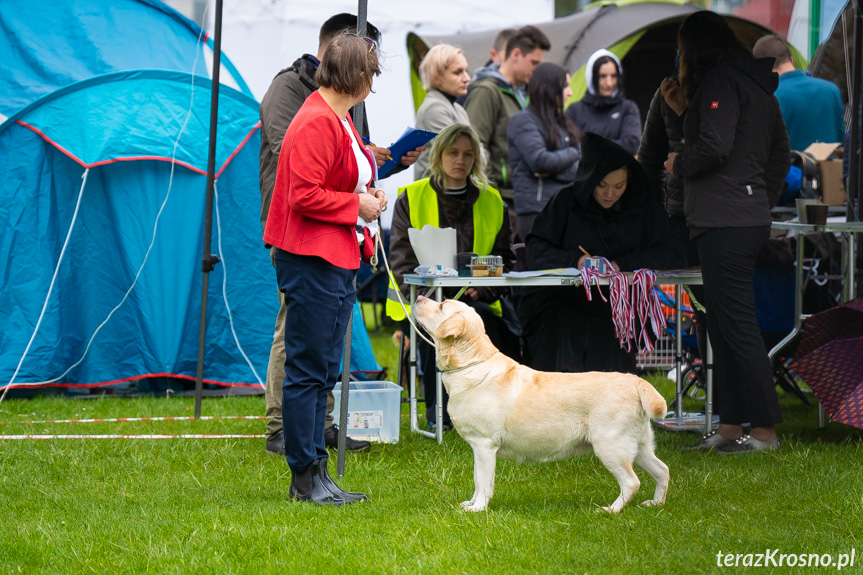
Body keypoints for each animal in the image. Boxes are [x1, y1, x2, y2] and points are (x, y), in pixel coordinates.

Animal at [416, 296, 672, 512]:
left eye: (442, 305)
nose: (418, 298)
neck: (471, 363)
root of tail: (636, 381)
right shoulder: (479, 447)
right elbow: (477, 479)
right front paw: (470, 503)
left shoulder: (484, 444)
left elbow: (483, 481)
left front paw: (478, 508)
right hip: (639, 445)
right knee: (662, 471)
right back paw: (656, 504)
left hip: (610, 445)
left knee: (631, 482)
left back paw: (611, 510)